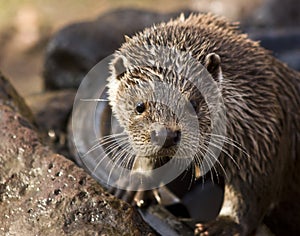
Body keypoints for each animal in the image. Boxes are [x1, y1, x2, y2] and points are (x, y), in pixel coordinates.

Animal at [105, 13, 300, 235]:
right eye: (139, 106)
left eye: (193, 103)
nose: (166, 134)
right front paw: (134, 184)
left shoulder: (262, 138)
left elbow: (249, 193)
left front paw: (224, 225)